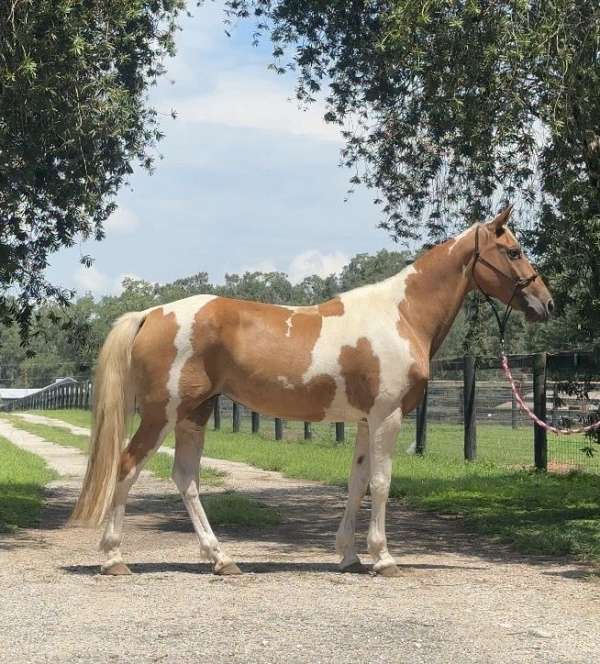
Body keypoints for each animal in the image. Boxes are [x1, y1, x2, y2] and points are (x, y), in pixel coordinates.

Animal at [70, 206, 553, 577]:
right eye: (513, 251)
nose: (547, 303)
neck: (401, 315)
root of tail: (152, 313)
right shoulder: (388, 416)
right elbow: (381, 483)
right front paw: (384, 558)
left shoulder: (366, 421)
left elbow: (358, 482)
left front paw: (350, 556)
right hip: (162, 414)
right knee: (127, 467)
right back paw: (114, 558)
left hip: (195, 413)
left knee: (186, 478)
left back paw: (221, 559)